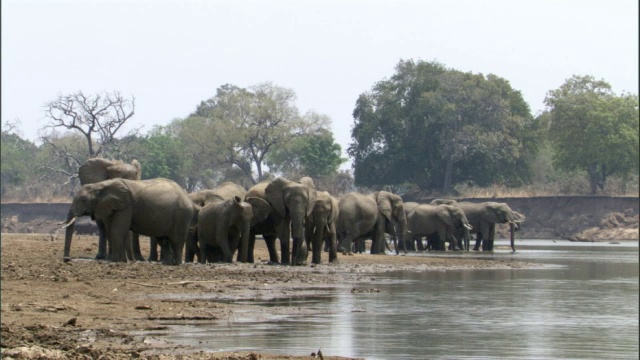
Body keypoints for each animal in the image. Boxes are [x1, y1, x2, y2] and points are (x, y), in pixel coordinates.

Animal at [61, 178, 194, 264]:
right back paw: (167, 264)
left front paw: (116, 262)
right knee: (163, 240)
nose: (67, 259)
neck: (100, 185)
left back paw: (177, 264)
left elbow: (118, 229)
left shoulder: (125, 206)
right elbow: (114, 230)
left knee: (176, 240)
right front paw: (121, 261)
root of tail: (186, 195)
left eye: (83, 200)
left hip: (182, 215)